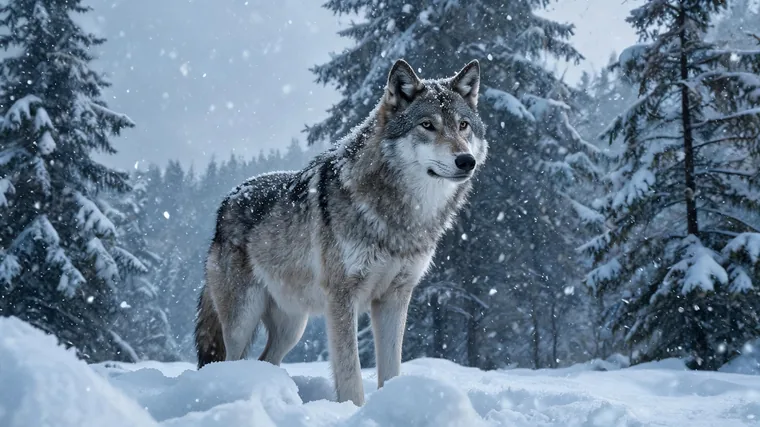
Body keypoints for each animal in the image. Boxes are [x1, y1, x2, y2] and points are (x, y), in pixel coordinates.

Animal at [194, 58, 488, 406]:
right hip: (243, 320)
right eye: (427, 125)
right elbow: (350, 374)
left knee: (265, 360)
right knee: (229, 360)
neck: (403, 218)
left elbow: (391, 367)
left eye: (463, 125)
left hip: (293, 326)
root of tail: (227, 201)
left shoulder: (395, 297)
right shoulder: (342, 297)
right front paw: (353, 409)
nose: (466, 160)